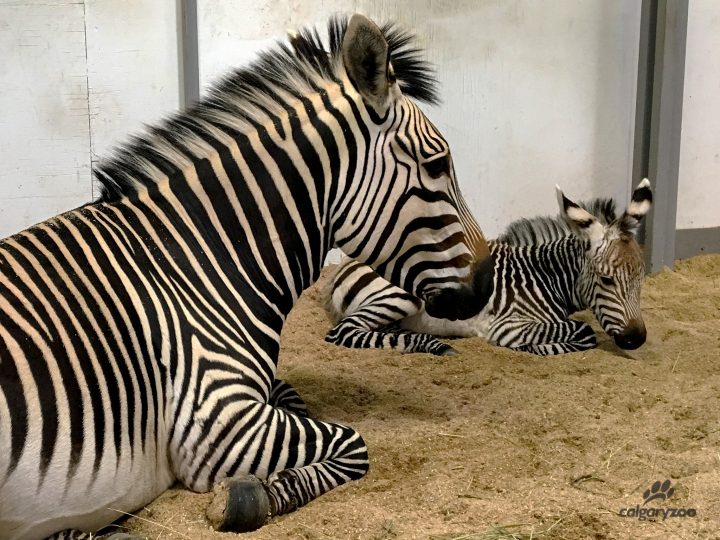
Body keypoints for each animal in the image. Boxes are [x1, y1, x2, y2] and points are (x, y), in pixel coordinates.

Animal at [0, 14, 495, 540]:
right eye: (437, 165)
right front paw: (251, 497)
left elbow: (293, 395)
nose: (489, 283)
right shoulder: (220, 420)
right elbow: (354, 444)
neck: (192, 262)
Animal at [324, 178, 652, 356]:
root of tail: (346, 262)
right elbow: (585, 332)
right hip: (403, 295)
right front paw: (535, 348)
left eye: (641, 279)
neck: (545, 278)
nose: (637, 340)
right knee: (343, 333)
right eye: (607, 281)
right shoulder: (509, 325)